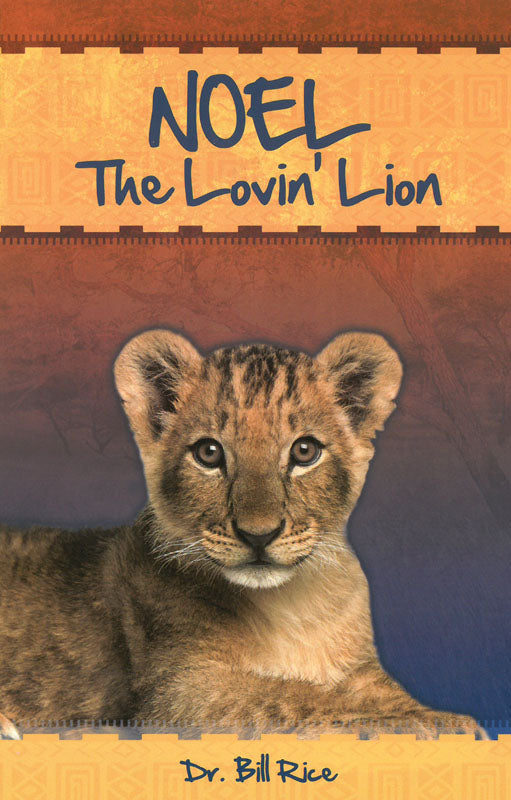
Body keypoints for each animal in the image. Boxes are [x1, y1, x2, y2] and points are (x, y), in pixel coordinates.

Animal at [0, 330, 484, 738]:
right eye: (209, 453)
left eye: (304, 451)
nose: (258, 535)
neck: (294, 605)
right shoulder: (180, 692)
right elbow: (293, 696)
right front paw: (429, 725)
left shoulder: (362, 668)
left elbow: (380, 692)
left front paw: (433, 715)